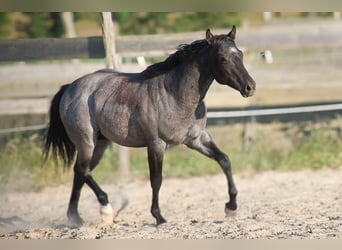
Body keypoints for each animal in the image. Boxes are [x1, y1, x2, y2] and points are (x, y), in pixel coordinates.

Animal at [43, 26, 254, 226]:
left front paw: (231, 207)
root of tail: (70, 88)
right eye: (222, 58)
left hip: (100, 144)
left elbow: (224, 160)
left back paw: (75, 218)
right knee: (84, 171)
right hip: (87, 141)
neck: (174, 94)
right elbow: (156, 180)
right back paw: (106, 209)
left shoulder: (197, 139)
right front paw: (158, 216)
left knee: (79, 173)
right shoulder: (156, 144)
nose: (250, 87)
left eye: (240, 54)